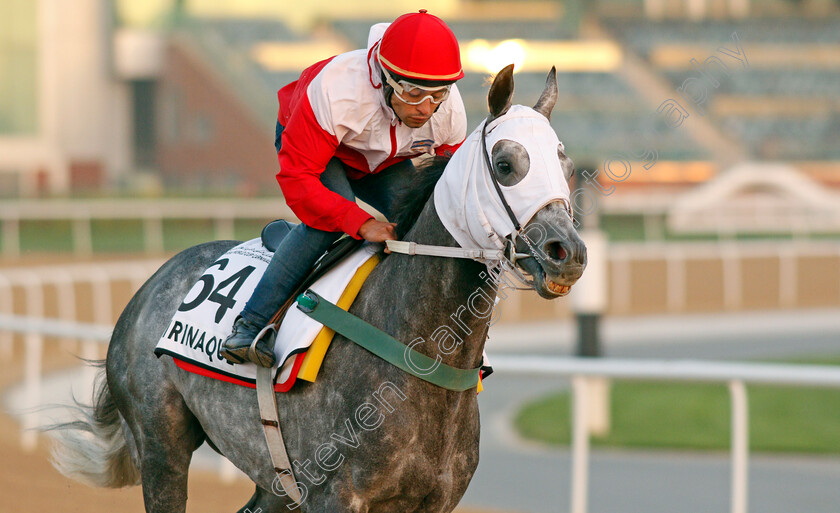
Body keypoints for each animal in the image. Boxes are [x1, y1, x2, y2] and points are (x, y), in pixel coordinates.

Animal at [46, 67, 584, 512]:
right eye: (506, 164)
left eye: (564, 163)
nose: (569, 253)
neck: (419, 354)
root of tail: (150, 286)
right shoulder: (335, 496)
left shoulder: (432, 502)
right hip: (162, 448)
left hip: (273, 482)